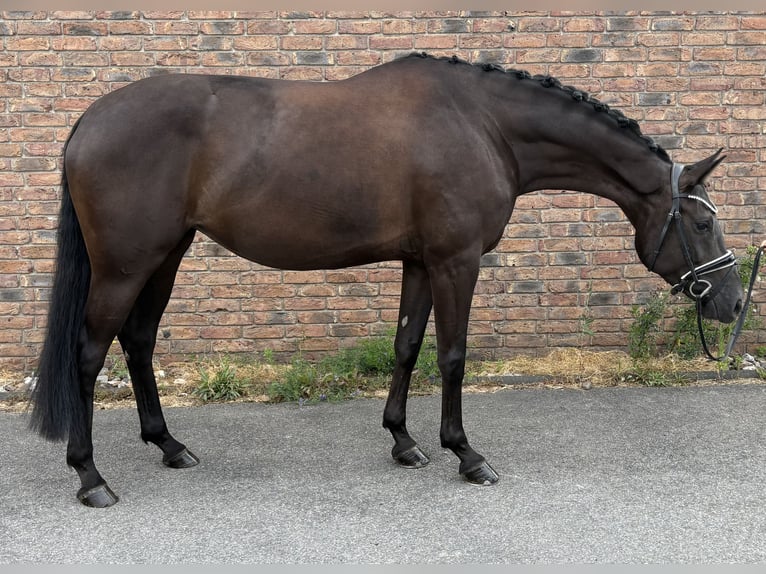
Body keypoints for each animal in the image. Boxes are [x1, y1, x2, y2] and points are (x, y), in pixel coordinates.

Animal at [29, 53, 744, 507]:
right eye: (704, 222)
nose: (735, 303)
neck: (484, 125)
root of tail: (88, 122)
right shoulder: (457, 260)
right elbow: (452, 356)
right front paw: (466, 455)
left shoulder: (421, 261)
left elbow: (406, 345)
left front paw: (403, 442)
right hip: (126, 264)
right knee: (88, 355)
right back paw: (90, 477)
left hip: (167, 255)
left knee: (139, 342)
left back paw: (169, 445)